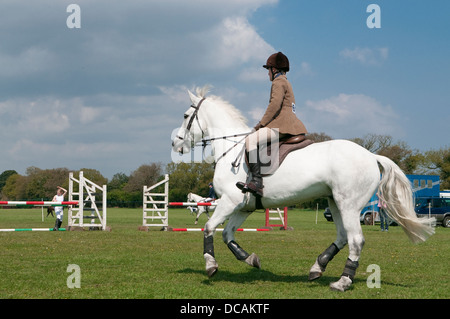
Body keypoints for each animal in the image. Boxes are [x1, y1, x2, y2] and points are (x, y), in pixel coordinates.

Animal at [171, 87, 434, 292]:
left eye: (185, 116)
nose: (175, 143)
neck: (230, 147)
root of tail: (371, 155)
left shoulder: (229, 201)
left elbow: (209, 228)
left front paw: (210, 266)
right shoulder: (243, 207)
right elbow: (227, 234)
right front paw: (251, 260)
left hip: (348, 204)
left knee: (356, 240)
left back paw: (342, 282)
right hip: (334, 202)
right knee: (342, 237)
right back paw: (317, 268)